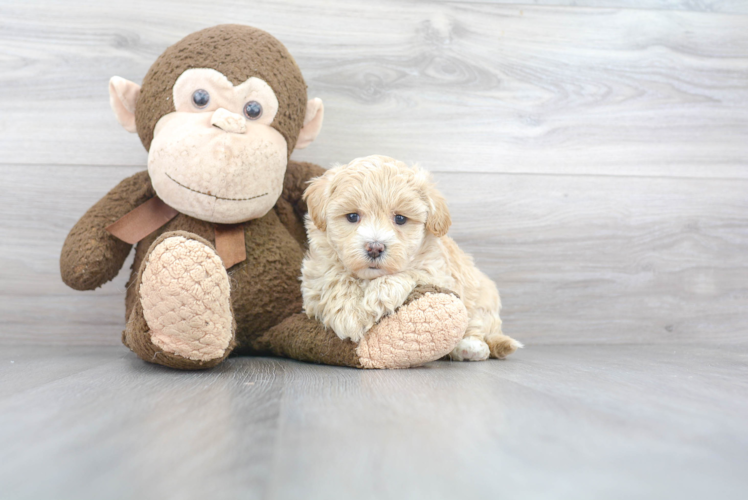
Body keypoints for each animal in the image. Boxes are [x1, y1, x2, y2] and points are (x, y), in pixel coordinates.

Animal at [300, 154, 524, 362]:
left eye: (400, 219)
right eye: (352, 216)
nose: (375, 248)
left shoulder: (435, 271)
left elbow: (407, 273)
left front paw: (375, 297)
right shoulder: (316, 273)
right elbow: (334, 277)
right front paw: (349, 313)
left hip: (482, 299)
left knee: (476, 326)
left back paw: (470, 347)